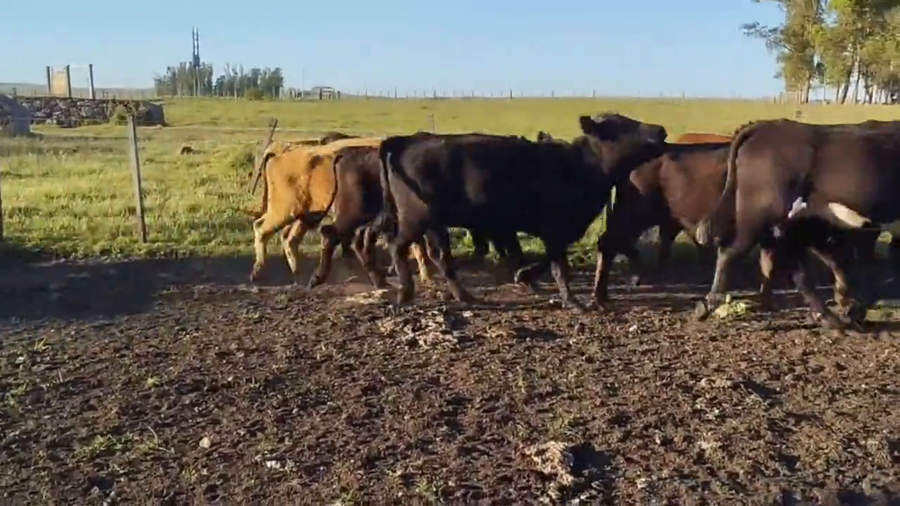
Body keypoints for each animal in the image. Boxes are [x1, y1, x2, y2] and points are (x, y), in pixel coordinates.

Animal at [249, 136, 430, 285]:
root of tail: (284, 151)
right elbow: (418, 246)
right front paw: (426, 276)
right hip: (285, 210)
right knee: (261, 228)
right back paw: (257, 272)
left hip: (306, 215)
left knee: (290, 239)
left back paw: (298, 274)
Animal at [373, 113, 668, 309]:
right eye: (619, 125)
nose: (661, 130)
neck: (579, 165)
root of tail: (406, 140)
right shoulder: (554, 228)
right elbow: (560, 266)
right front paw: (573, 301)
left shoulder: (558, 231)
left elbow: (546, 260)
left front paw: (525, 277)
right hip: (415, 219)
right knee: (397, 246)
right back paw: (405, 294)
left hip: (434, 224)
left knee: (440, 256)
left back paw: (465, 296)